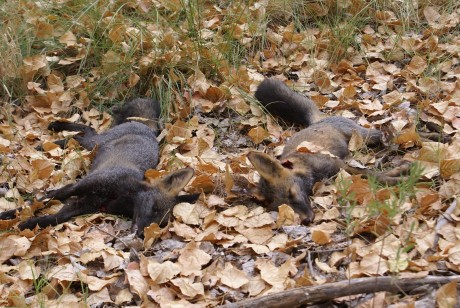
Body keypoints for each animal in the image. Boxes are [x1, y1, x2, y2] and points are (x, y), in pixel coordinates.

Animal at [0, 98, 196, 236]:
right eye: (154, 207)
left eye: (159, 223)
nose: (141, 234)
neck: (119, 194)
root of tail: (146, 127)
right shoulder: (77, 187)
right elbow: (38, 202)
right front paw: (8, 215)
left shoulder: (83, 205)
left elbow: (54, 217)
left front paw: (28, 224)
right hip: (94, 143)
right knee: (81, 134)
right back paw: (54, 131)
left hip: (92, 146)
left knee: (79, 136)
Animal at [250, 78, 412, 225]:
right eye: (281, 206)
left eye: (291, 193)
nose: (306, 220)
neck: (308, 167)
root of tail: (316, 122)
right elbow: (375, 176)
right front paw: (401, 175)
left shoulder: (338, 164)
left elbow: (375, 175)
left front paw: (403, 176)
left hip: (365, 136)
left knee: (384, 135)